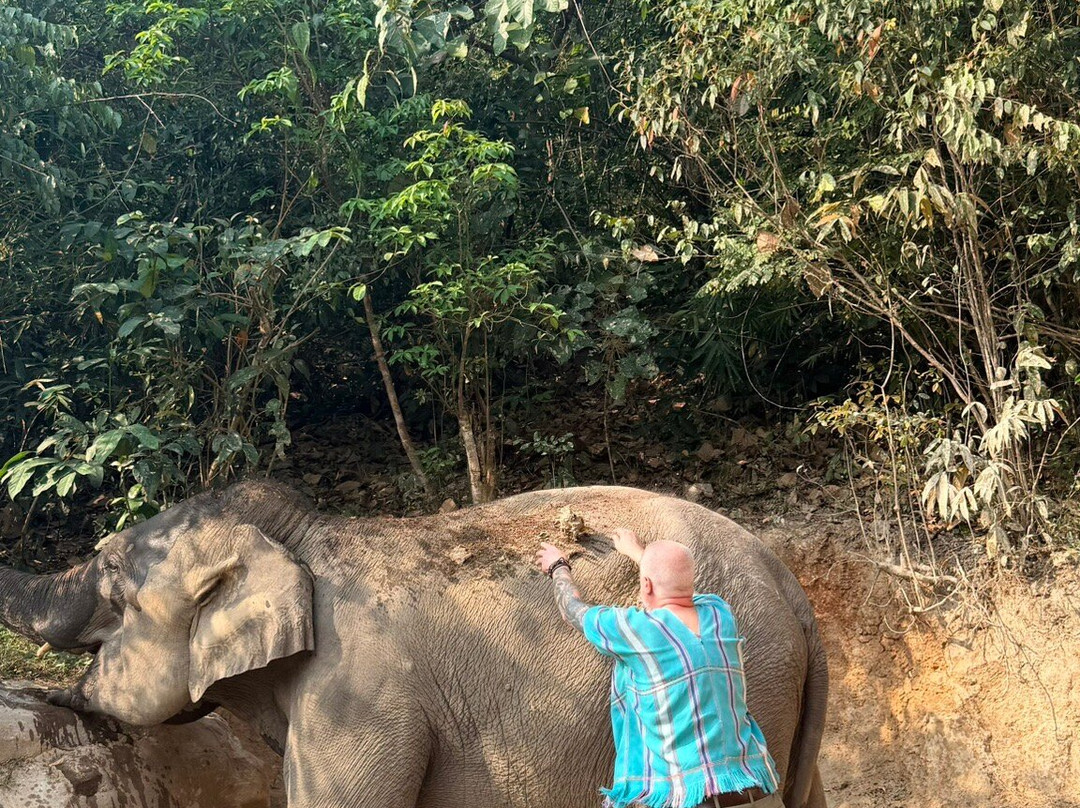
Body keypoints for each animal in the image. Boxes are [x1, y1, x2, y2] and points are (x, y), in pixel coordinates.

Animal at [0, 481, 829, 808]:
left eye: (110, 579)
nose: (38, 686)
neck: (299, 536)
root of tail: (790, 584)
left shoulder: (354, 695)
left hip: (752, 681)